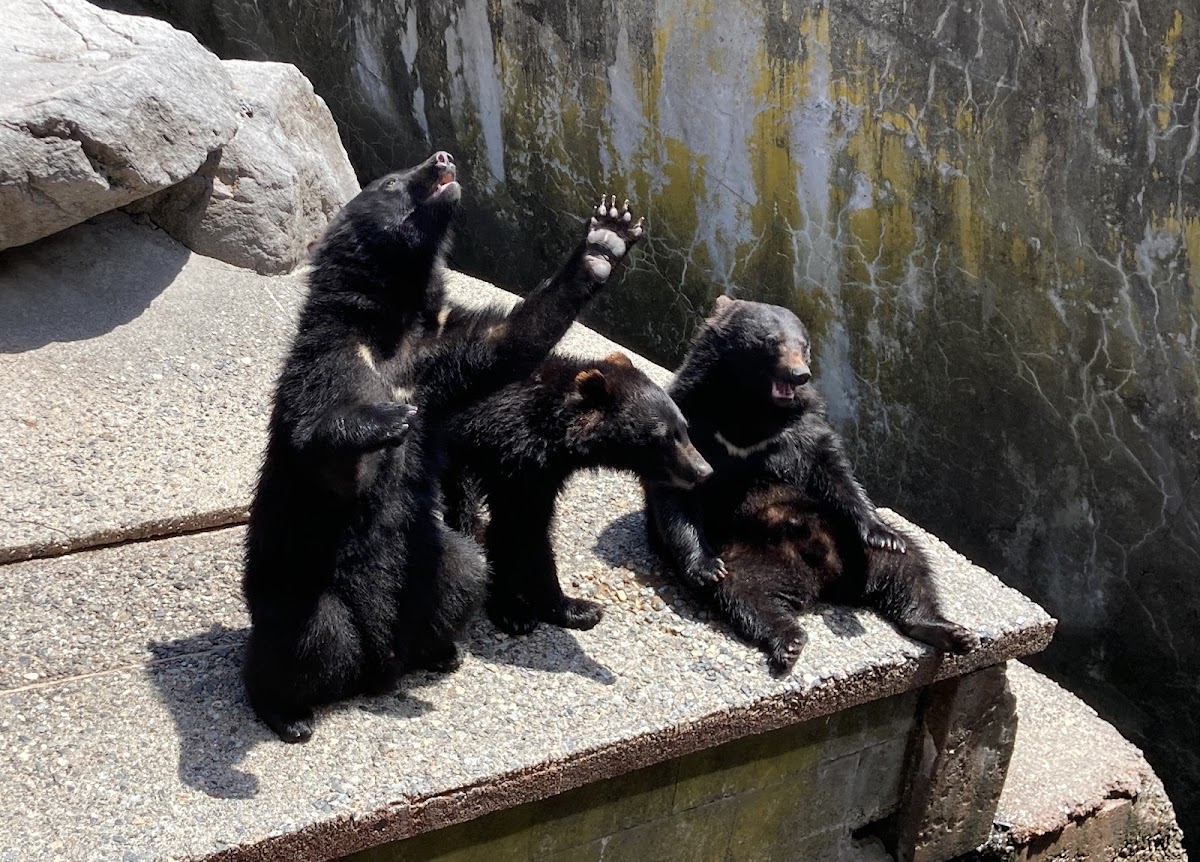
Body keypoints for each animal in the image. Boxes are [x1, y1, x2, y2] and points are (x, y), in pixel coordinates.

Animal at [242, 146, 646, 742]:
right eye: (390, 182)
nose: (443, 157)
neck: (394, 327)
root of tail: (375, 668)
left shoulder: (441, 353)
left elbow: (510, 342)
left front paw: (606, 241)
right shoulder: (326, 366)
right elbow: (325, 457)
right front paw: (383, 421)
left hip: (431, 566)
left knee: (465, 570)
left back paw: (440, 652)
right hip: (300, 583)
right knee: (302, 635)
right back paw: (286, 713)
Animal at [441, 351, 713, 635]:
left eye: (684, 428)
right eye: (664, 436)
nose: (704, 471)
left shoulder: (539, 474)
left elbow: (527, 527)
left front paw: (572, 608)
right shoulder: (512, 462)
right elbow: (520, 530)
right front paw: (515, 610)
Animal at [642, 296, 978, 675]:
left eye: (805, 346)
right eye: (772, 341)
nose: (799, 374)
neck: (749, 410)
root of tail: (824, 578)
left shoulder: (801, 426)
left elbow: (834, 471)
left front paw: (880, 532)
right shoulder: (694, 418)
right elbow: (677, 488)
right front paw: (703, 567)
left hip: (845, 538)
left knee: (909, 569)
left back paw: (947, 629)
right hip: (745, 555)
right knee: (746, 595)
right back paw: (788, 639)